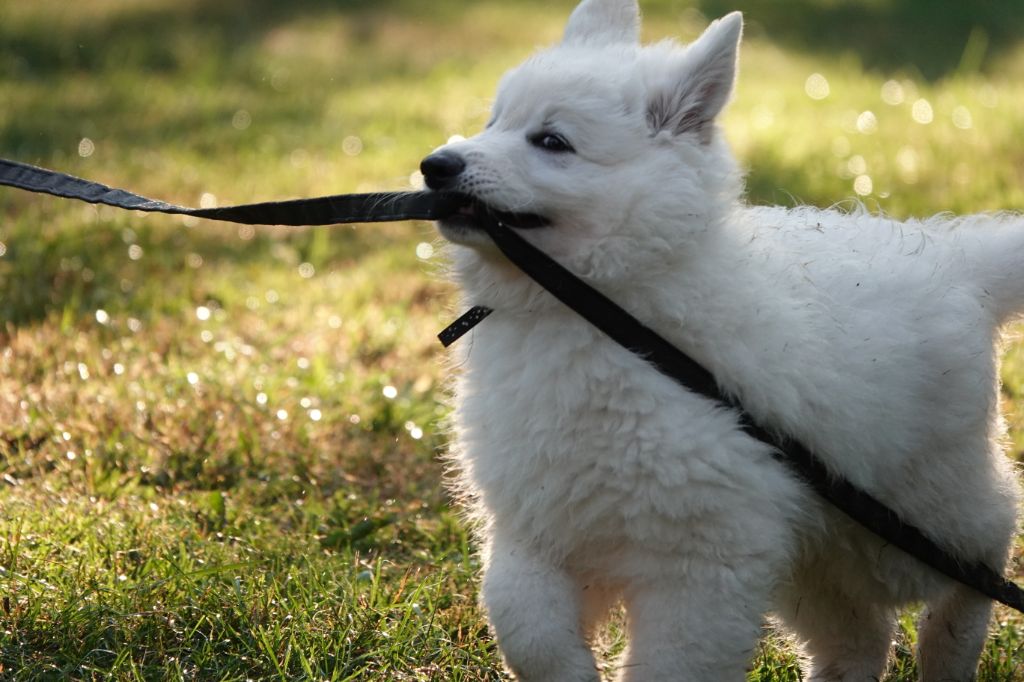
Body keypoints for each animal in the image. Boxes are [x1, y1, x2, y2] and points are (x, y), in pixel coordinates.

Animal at [417, 2, 1024, 675]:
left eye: (552, 141)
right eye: (493, 121)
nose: (435, 166)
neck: (606, 314)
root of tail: (956, 258)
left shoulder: (701, 563)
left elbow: (669, 666)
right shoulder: (534, 526)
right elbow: (527, 629)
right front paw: (572, 672)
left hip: (912, 512)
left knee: (986, 546)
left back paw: (950, 650)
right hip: (817, 553)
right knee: (859, 639)